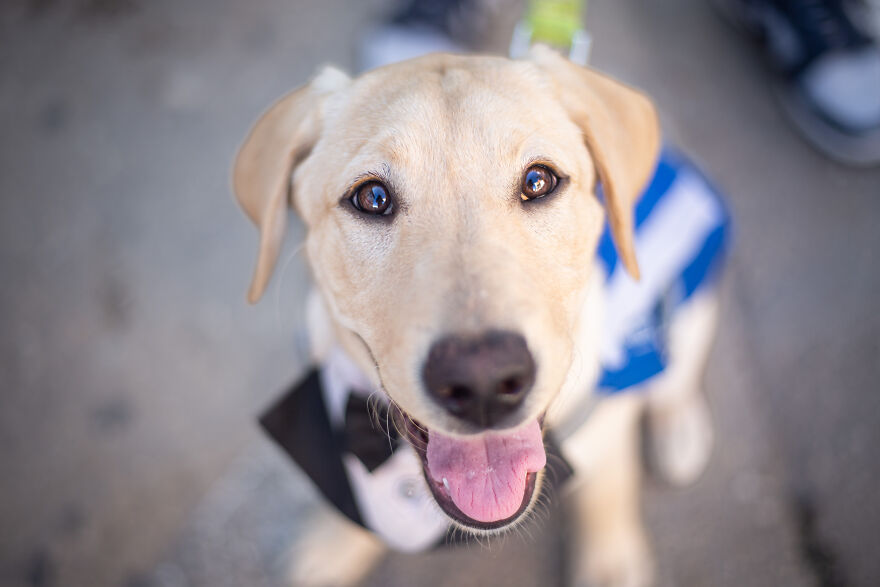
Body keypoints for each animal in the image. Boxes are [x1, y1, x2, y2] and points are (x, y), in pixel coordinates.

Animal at [235, 47, 720, 587]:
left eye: (538, 181)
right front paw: (335, 542)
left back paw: (680, 431)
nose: (484, 380)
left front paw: (611, 564)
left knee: (676, 379)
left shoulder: (608, 420)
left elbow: (607, 493)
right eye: (372, 198)